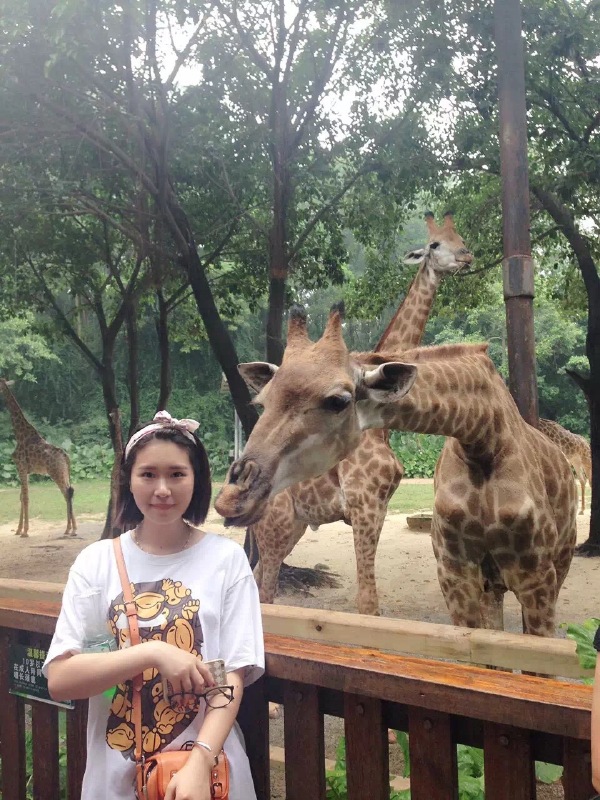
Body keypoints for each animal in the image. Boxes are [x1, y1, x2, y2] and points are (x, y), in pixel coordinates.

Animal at [0, 378, 76, 538]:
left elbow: (25, 497)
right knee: (70, 492)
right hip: (64, 473)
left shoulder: (21, 467)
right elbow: (21, 496)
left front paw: (25, 531)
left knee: (66, 493)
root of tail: (66, 456)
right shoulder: (25, 471)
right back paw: (72, 529)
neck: (19, 434)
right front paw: (18, 530)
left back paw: (69, 529)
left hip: (56, 473)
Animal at [215, 309, 577, 637]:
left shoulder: (535, 574)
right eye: (262, 402)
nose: (231, 498)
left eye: (338, 400)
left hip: (555, 562)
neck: (482, 439)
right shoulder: (453, 570)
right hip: (280, 528)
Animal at [246, 212, 473, 616]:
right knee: (266, 591)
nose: (467, 257)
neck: (380, 428)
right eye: (434, 245)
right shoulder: (363, 505)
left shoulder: (378, 508)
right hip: (276, 523)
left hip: (294, 525)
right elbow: (367, 602)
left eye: (460, 237)